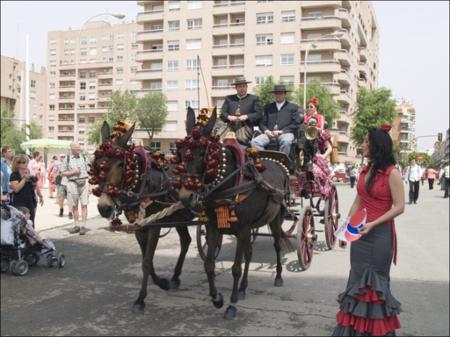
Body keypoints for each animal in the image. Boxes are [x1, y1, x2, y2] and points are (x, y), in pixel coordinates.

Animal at [93, 121, 193, 312]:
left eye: (120, 164)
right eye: (98, 163)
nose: (104, 208)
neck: (143, 183)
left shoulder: (154, 226)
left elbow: (147, 260)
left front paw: (140, 299)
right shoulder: (139, 227)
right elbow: (147, 260)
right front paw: (162, 282)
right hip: (179, 217)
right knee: (186, 241)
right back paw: (175, 277)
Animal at [174, 107, 290, 318]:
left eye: (204, 154)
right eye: (179, 153)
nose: (186, 197)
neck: (227, 184)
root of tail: (278, 163)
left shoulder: (243, 230)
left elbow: (236, 267)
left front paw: (232, 303)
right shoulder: (214, 228)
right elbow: (209, 265)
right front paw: (217, 298)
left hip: (276, 217)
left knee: (277, 245)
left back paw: (278, 276)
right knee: (250, 253)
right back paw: (243, 287)